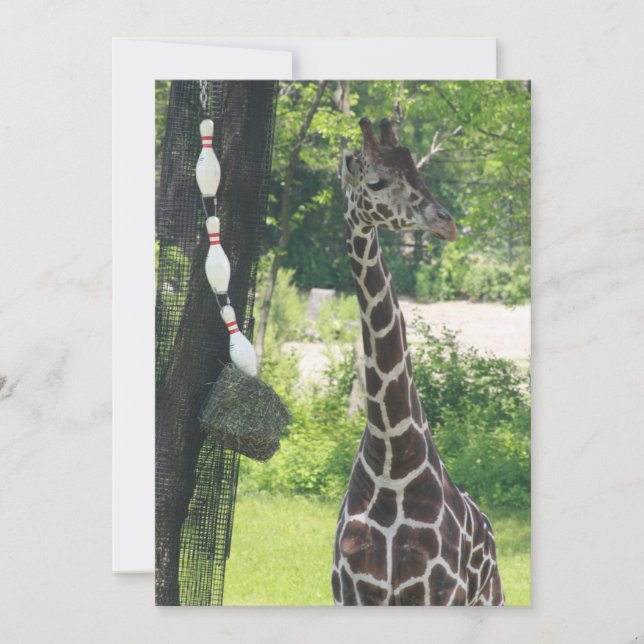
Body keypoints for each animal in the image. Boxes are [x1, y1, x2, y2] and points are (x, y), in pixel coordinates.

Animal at [332, 118, 504, 606]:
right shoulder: (351, 592)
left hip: (490, 597)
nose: (447, 224)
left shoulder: (434, 591)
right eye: (376, 181)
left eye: (419, 173)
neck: (392, 458)